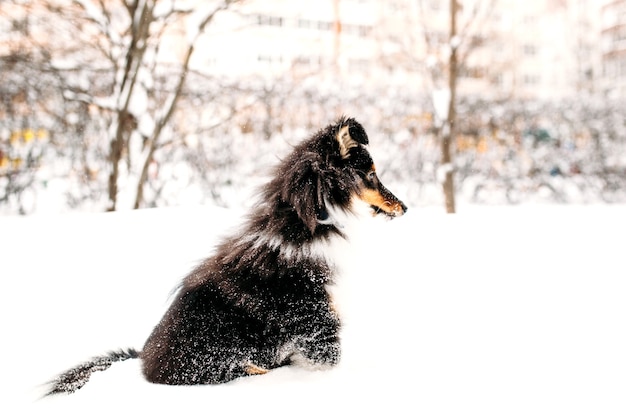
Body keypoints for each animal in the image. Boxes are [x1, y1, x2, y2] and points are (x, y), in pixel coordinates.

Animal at [46, 116, 408, 394]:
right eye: (371, 175)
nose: (405, 207)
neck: (312, 224)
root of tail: (142, 362)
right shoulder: (317, 324)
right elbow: (328, 362)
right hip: (226, 361)